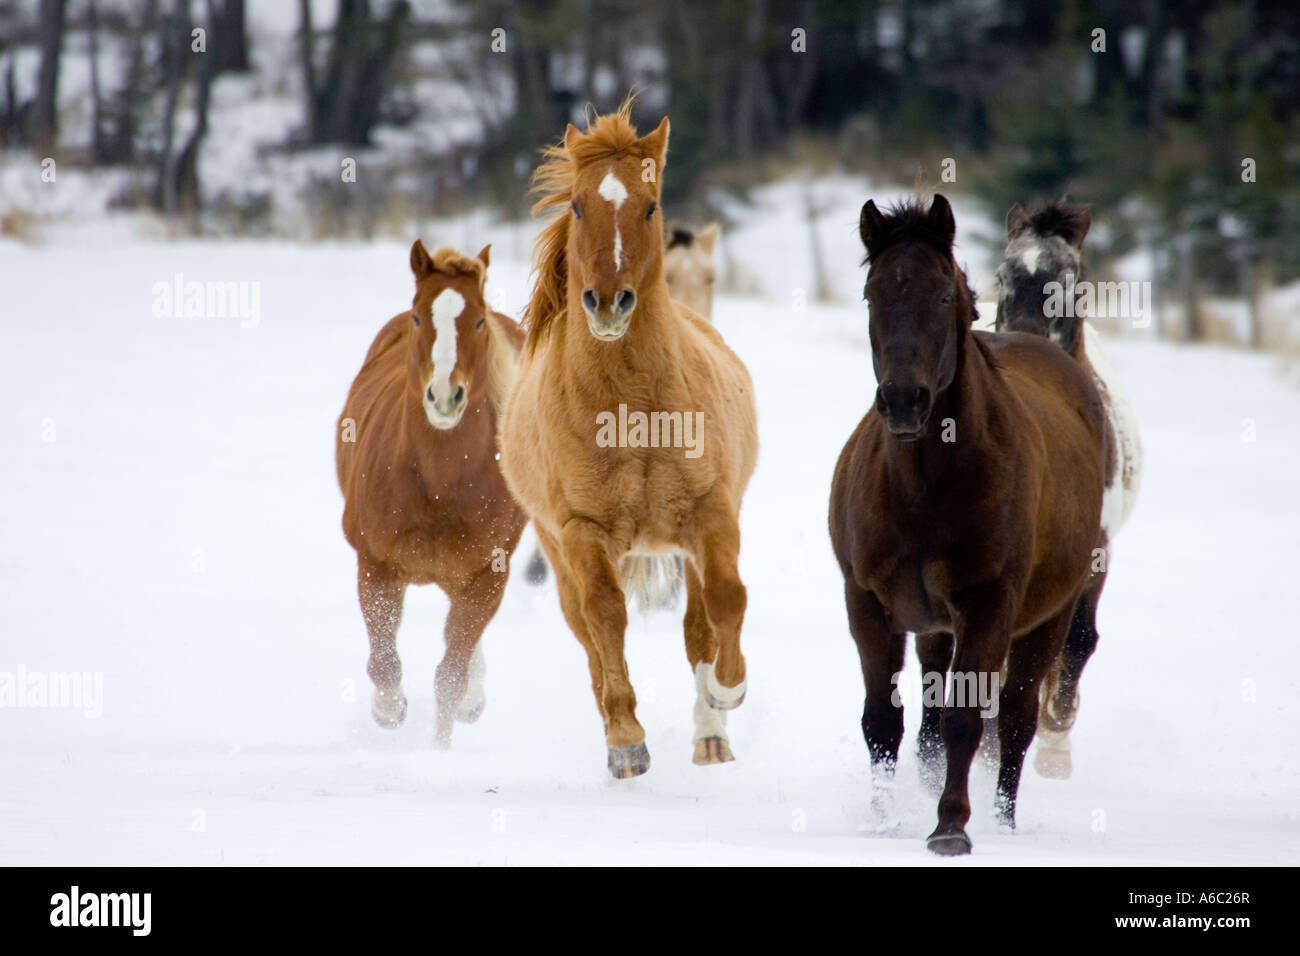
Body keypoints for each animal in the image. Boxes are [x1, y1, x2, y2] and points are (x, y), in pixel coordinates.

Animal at [336, 241, 527, 750]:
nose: (444, 396)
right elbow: (384, 661)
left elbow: (450, 676)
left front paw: (439, 752)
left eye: (478, 321)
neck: (439, 483)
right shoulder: (376, 563)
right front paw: (389, 710)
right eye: (421, 317)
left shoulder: (487, 576)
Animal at [827, 194, 1107, 854]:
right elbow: (883, 720)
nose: (904, 401)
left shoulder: (987, 606)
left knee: (1015, 720)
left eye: (941, 296)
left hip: (1046, 619)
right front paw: (882, 821)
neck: (924, 487)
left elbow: (966, 720)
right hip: (935, 628)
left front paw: (951, 826)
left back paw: (1002, 821)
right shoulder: (867, 603)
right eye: (873, 295)